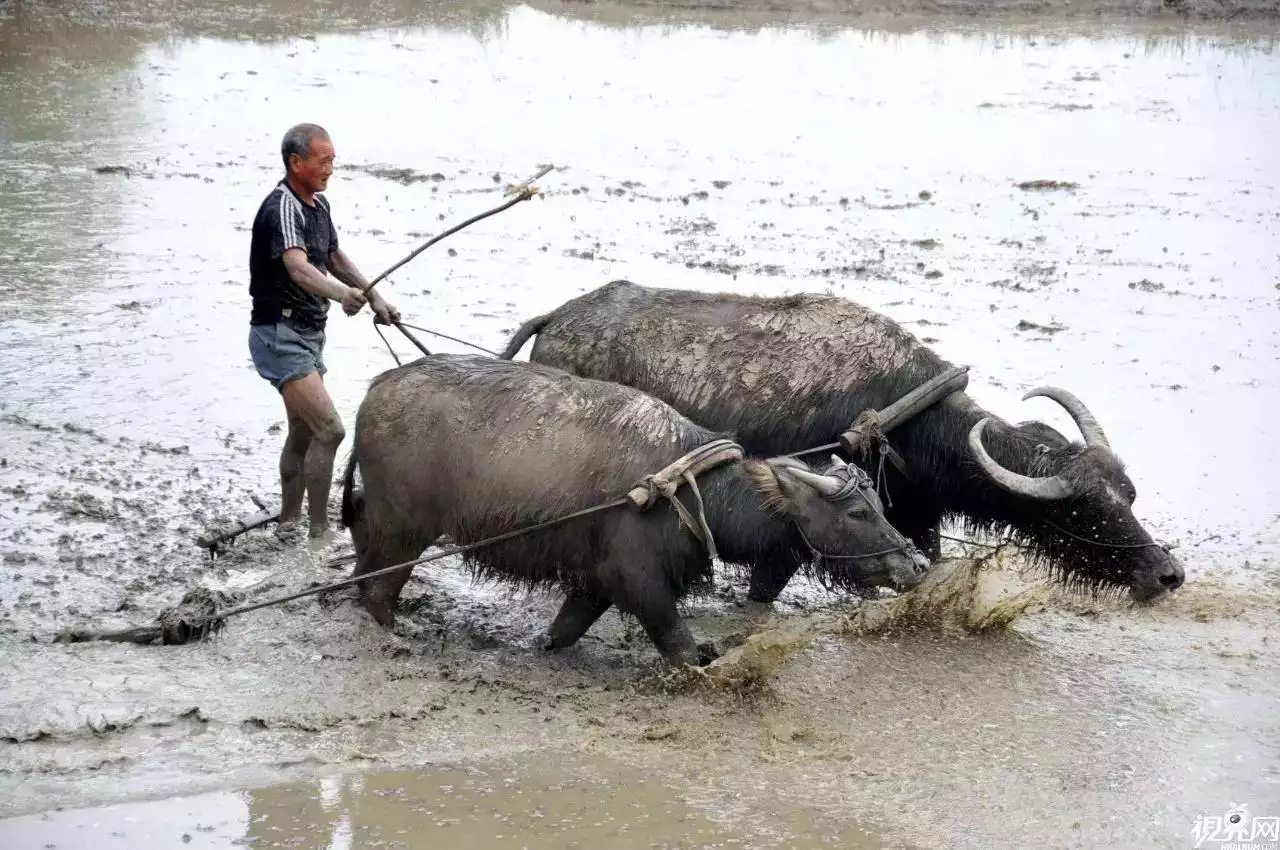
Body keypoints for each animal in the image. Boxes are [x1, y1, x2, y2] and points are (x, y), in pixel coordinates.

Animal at [335, 350, 926, 665]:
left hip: (385, 521)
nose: (916, 562)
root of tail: (376, 390)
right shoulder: (639, 580)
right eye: (856, 514)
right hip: (405, 528)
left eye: (878, 502)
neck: (689, 491)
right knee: (378, 585)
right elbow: (679, 645)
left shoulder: (592, 582)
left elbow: (564, 630)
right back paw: (397, 629)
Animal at [501, 279, 1187, 604]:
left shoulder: (917, 517)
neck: (904, 415)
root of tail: (556, 317)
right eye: (1085, 508)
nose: (1167, 573)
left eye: (1128, 494)